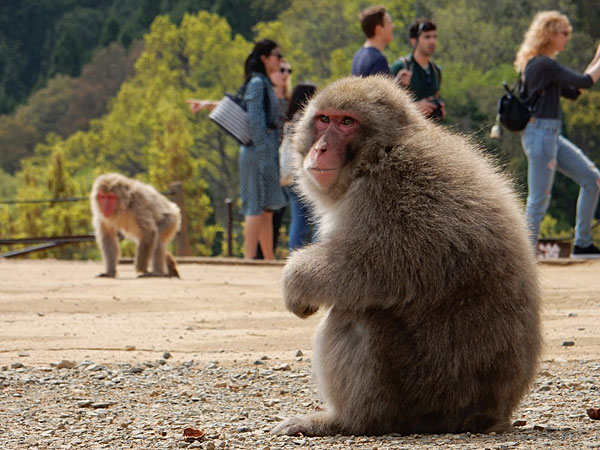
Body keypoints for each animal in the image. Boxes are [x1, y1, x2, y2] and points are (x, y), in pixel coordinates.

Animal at [274, 76, 540, 436]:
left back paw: (348, 420)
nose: (321, 148)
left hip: (429, 392)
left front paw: (296, 280)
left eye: (347, 123)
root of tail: (490, 414)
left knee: (357, 316)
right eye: (324, 119)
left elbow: (387, 265)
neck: (380, 153)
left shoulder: (394, 188)